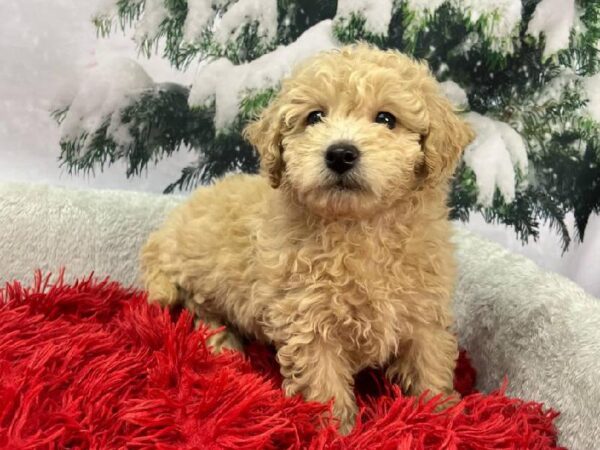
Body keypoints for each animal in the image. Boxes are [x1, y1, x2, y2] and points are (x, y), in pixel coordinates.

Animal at [141, 44, 474, 434]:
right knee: (196, 309)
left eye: (387, 119)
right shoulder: (309, 320)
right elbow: (324, 382)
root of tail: (167, 229)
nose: (340, 153)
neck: (358, 227)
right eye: (315, 117)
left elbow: (429, 363)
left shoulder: (423, 311)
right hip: (196, 275)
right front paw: (337, 431)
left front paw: (442, 416)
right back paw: (223, 343)